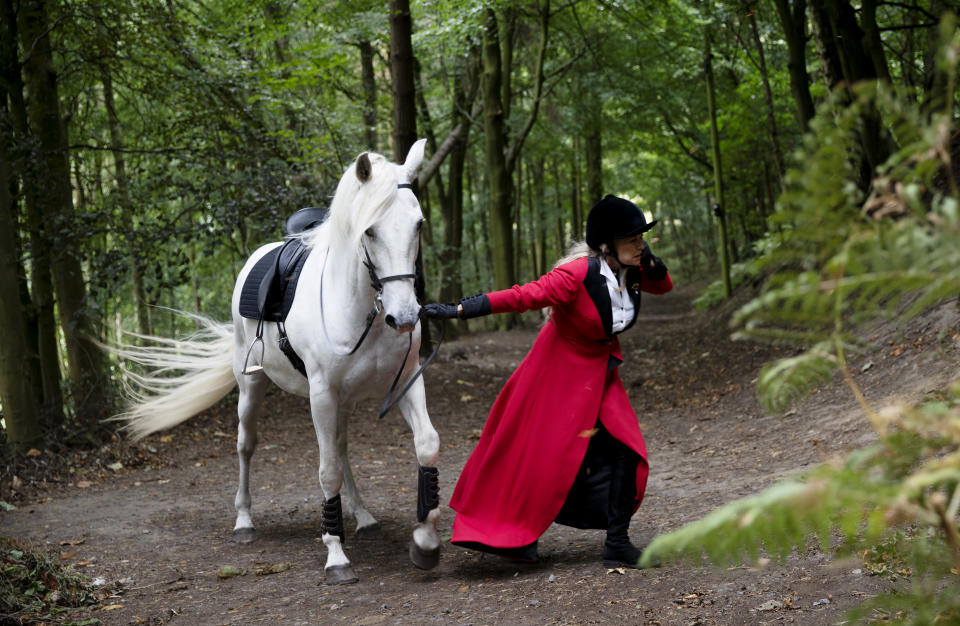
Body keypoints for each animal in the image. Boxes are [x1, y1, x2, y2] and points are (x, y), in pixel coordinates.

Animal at [113, 139, 442, 584]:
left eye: (419, 225)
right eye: (369, 230)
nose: (405, 316)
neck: (362, 312)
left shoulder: (406, 382)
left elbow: (426, 446)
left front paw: (425, 540)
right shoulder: (321, 395)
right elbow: (327, 470)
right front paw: (335, 555)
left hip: (342, 401)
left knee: (341, 448)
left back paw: (363, 516)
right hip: (252, 388)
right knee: (247, 446)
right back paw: (244, 521)